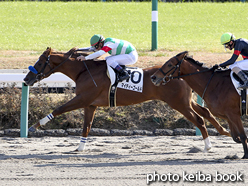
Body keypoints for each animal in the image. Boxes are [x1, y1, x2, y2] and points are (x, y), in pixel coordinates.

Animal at [24, 47, 230, 152]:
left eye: (39, 62)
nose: (26, 79)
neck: (84, 71)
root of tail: (179, 75)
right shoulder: (90, 104)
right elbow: (86, 127)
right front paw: (80, 148)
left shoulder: (82, 99)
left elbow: (58, 109)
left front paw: (34, 126)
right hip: (186, 101)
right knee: (206, 112)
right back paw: (224, 131)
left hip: (179, 103)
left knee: (199, 119)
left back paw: (208, 146)